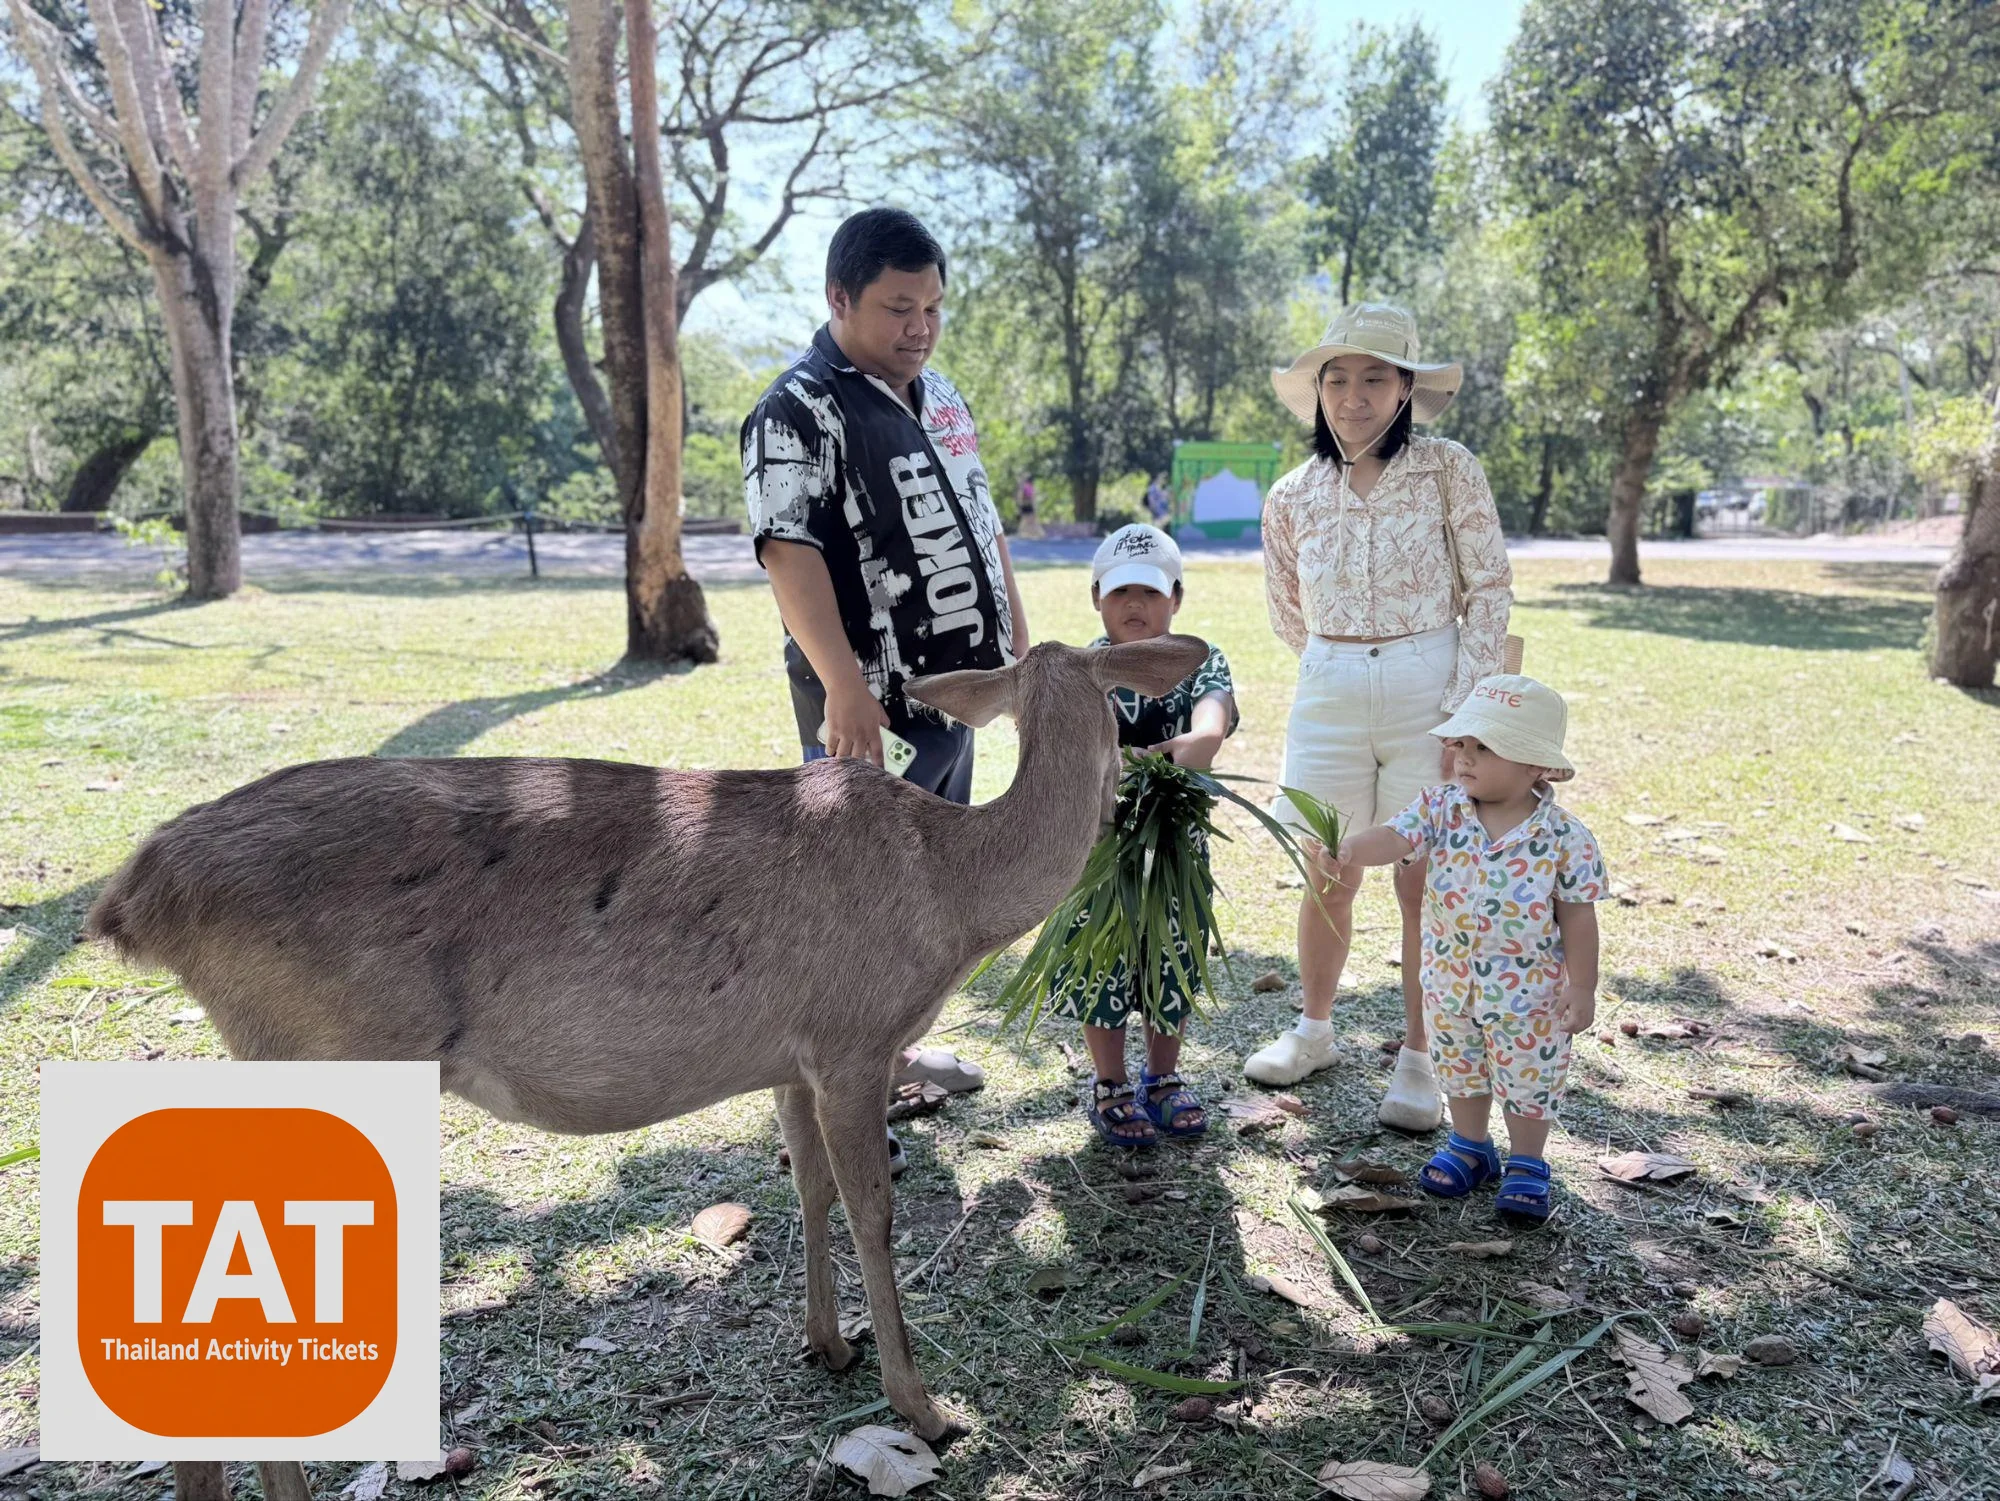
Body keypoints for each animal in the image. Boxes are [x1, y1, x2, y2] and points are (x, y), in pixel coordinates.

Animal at [85, 634, 1209, 1501]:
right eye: (1128, 704)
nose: (1156, 774)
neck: (951, 894)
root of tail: (137, 895)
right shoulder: (854, 1035)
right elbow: (875, 1211)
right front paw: (925, 1409)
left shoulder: (789, 1055)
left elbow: (806, 1188)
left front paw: (827, 1343)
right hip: (329, 1050)